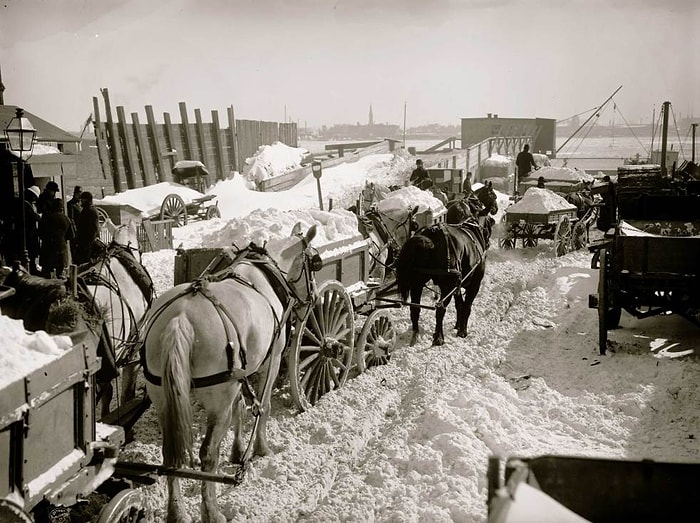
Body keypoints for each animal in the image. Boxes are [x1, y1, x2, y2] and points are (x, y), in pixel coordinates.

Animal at [396, 217, 494, 348]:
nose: (488, 244)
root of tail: (432, 232)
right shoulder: (474, 284)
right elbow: (466, 306)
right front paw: (462, 331)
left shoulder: (457, 285)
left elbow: (459, 305)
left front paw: (458, 325)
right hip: (447, 286)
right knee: (440, 309)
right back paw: (439, 337)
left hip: (418, 283)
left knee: (415, 309)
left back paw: (415, 335)